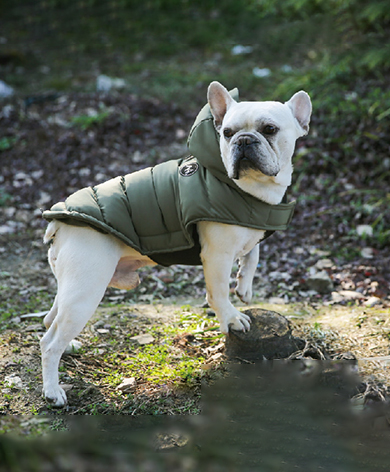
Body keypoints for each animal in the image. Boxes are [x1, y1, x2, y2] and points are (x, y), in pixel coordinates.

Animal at [39, 82, 312, 406]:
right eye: (227, 133)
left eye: (270, 129)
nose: (244, 140)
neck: (248, 189)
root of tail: (60, 222)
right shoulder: (217, 256)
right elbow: (219, 293)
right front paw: (232, 318)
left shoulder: (250, 227)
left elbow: (252, 253)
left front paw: (244, 286)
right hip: (86, 289)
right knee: (49, 342)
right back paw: (52, 390)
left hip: (71, 285)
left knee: (51, 319)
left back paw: (68, 348)